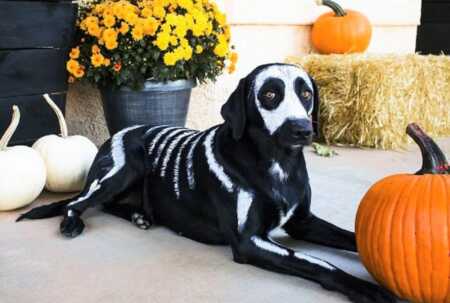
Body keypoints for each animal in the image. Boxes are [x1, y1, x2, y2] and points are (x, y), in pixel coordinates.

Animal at [19, 63, 396, 302]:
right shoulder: (249, 242)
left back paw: (141, 216)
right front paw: (367, 288)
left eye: (306, 94)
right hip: (123, 170)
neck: (278, 163)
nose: (302, 129)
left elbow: (355, 237)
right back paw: (72, 224)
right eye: (270, 95)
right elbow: (319, 263)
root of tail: (122, 132)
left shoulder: (303, 222)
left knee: (110, 205)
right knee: (75, 203)